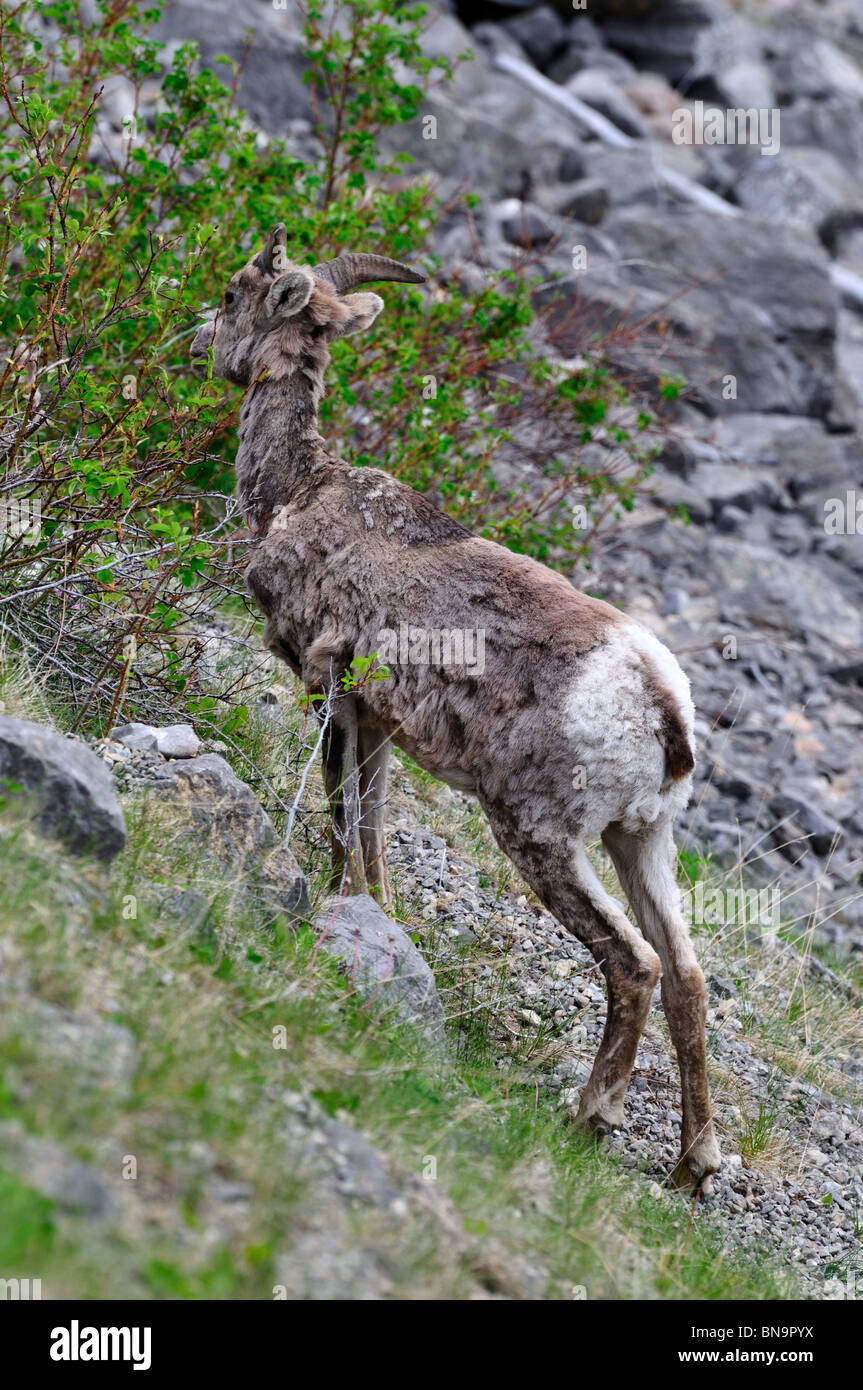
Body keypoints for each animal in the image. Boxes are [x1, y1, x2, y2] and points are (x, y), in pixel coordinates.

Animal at [190, 227, 722, 1195]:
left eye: (231, 292)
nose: (207, 352)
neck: (299, 493)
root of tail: (657, 708)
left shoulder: (330, 695)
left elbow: (343, 821)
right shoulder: (379, 727)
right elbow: (372, 828)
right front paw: (374, 915)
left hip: (539, 835)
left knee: (633, 963)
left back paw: (589, 1118)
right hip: (642, 839)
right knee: (686, 974)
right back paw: (690, 1166)